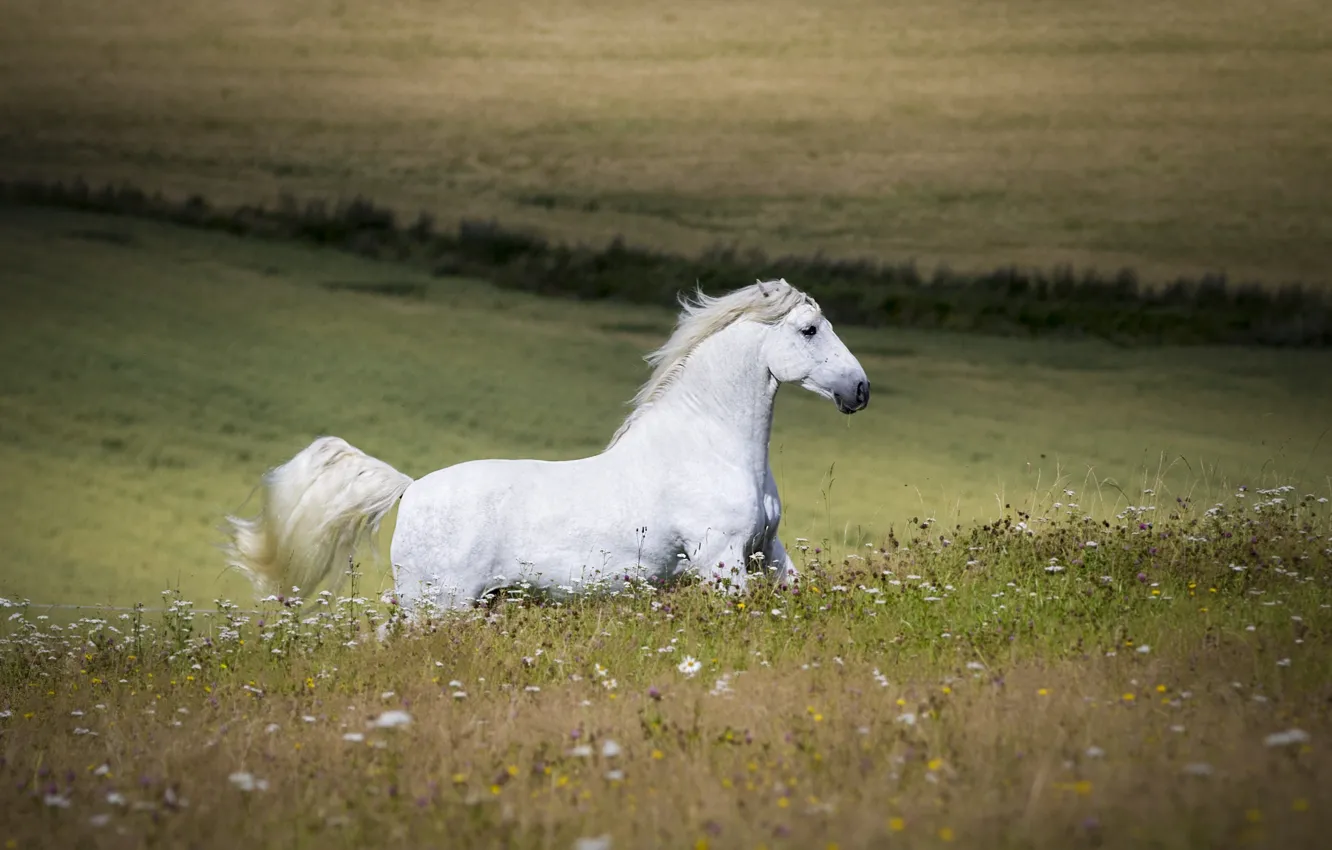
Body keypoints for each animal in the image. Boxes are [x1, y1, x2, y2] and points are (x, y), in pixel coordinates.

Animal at [223, 281, 868, 612]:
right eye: (810, 329)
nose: (859, 390)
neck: (707, 447)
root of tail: (409, 491)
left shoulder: (767, 551)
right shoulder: (721, 560)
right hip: (440, 605)